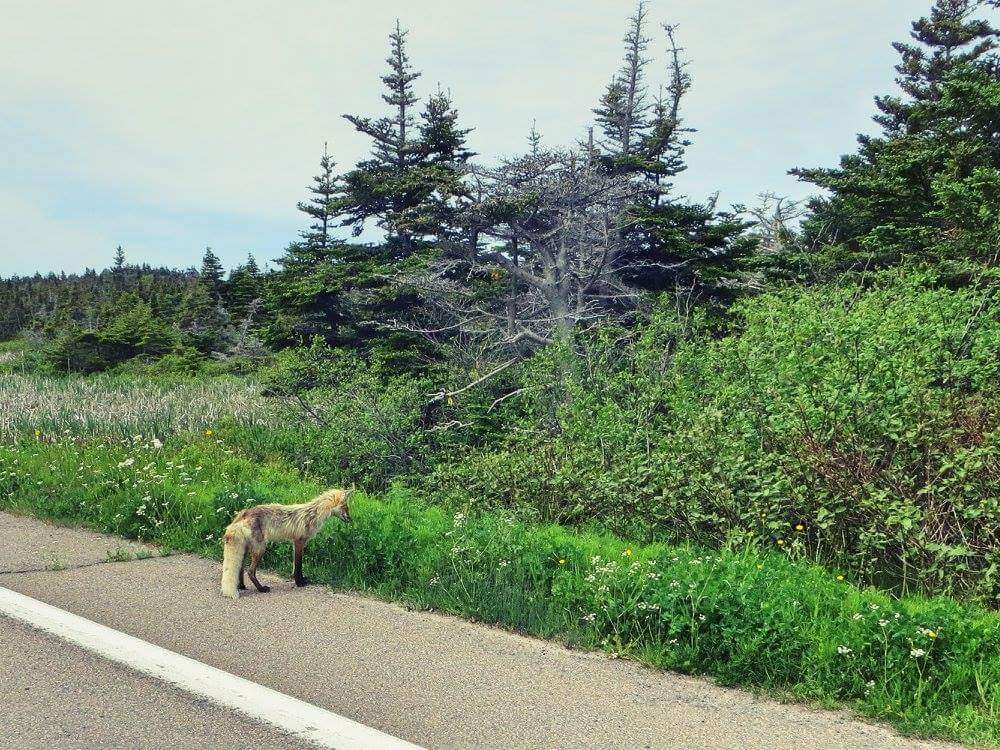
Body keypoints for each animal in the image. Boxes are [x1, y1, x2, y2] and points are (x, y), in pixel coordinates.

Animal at [221, 490, 354, 604]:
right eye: (345, 508)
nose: (351, 520)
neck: (313, 515)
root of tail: (245, 512)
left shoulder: (297, 543)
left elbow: (297, 566)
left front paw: (302, 580)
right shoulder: (299, 542)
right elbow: (298, 566)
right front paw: (299, 583)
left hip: (247, 549)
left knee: (240, 568)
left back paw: (241, 586)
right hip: (260, 549)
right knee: (250, 571)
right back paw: (261, 589)